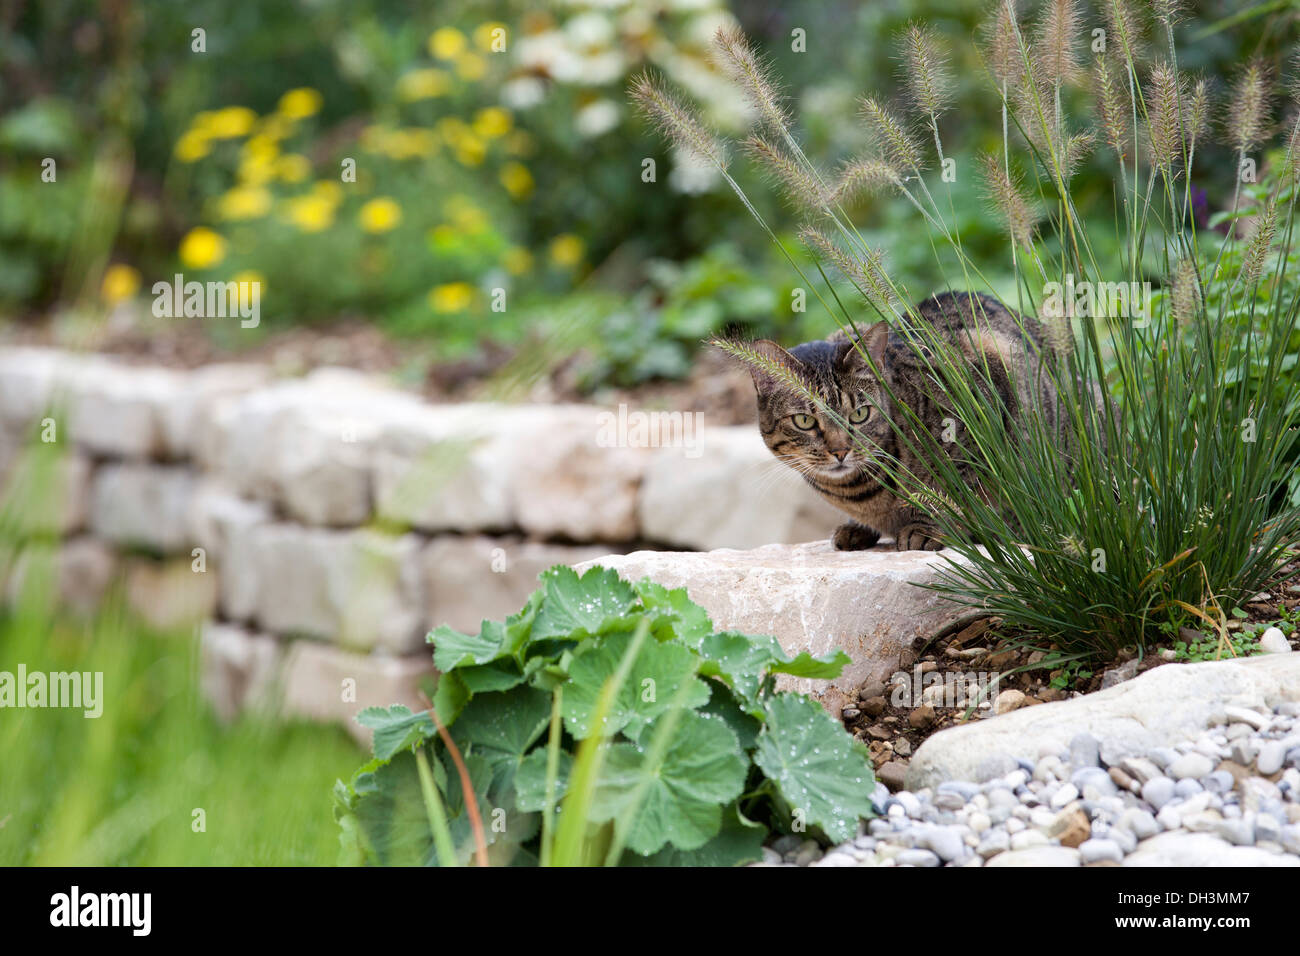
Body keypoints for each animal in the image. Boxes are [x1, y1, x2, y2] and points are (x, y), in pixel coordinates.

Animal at [748, 287, 1071, 548]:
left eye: (860, 414)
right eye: (805, 421)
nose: (840, 451)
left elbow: (956, 484)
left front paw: (928, 526)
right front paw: (859, 528)